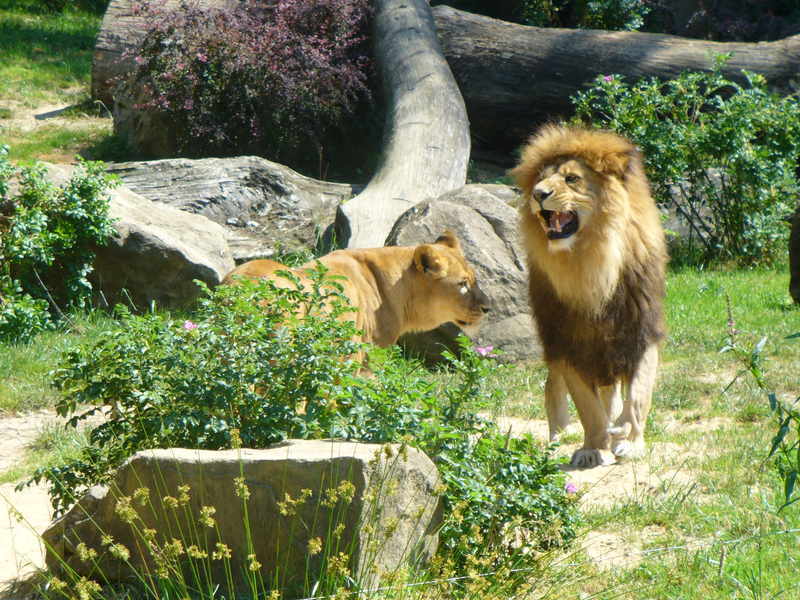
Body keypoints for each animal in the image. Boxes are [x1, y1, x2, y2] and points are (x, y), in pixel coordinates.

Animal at [510, 124, 667, 468]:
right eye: (541, 179)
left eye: (571, 179)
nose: (538, 194)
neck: (590, 263)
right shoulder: (568, 343)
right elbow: (588, 408)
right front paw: (593, 448)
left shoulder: (640, 332)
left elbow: (638, 394)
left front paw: (629, 438)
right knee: (554, 388)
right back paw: (559, 436)